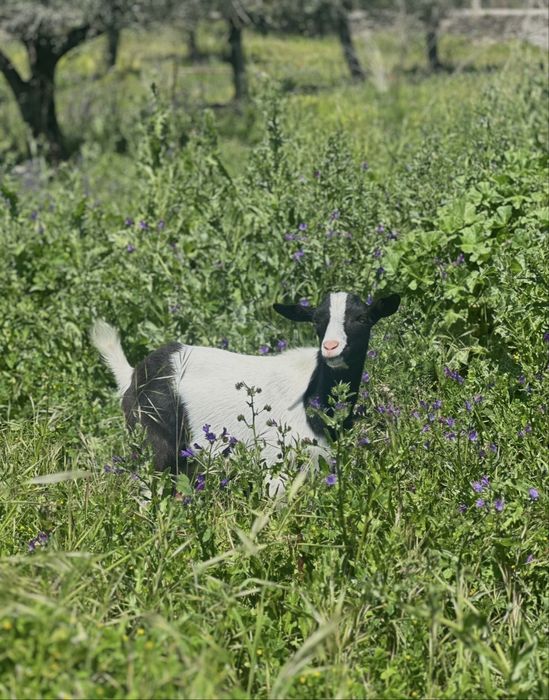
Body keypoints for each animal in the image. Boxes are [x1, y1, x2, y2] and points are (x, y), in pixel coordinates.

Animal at [91, 292, 400, 489]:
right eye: (317, 321)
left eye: (362, 318)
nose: (331, 347)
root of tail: (133, 375)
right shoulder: (275, 464)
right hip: (153, 442)